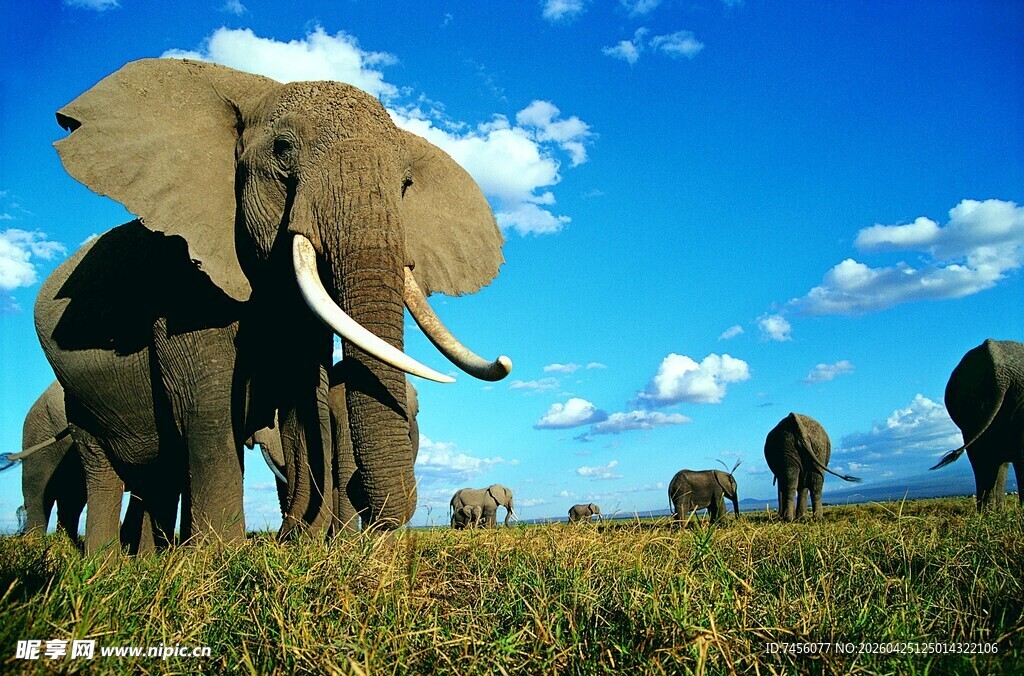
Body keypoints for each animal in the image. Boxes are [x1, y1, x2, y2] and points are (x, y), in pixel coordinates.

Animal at [34, 58, 511, 552]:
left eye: (406, 184)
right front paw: (222, 554)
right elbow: (209, 410)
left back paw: (147, 558)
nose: (286, 531)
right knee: (105, 470)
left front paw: (301, 542)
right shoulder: (184, 283)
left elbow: (305, 397)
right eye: (283, 150)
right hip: (77, 397)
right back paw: (106, 562)